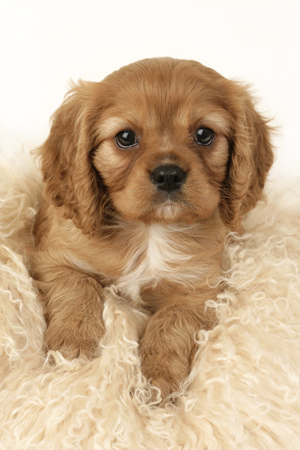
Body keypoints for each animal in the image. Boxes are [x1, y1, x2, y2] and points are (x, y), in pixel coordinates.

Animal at [31, 58, 274, 400]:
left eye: (204, 134)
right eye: (125, 137)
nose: (169, 174)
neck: (150, 231)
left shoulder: (201, 291)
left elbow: (171, 321)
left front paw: (159, 379)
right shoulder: (53, 259)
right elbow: (78, 286)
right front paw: (73, 342)